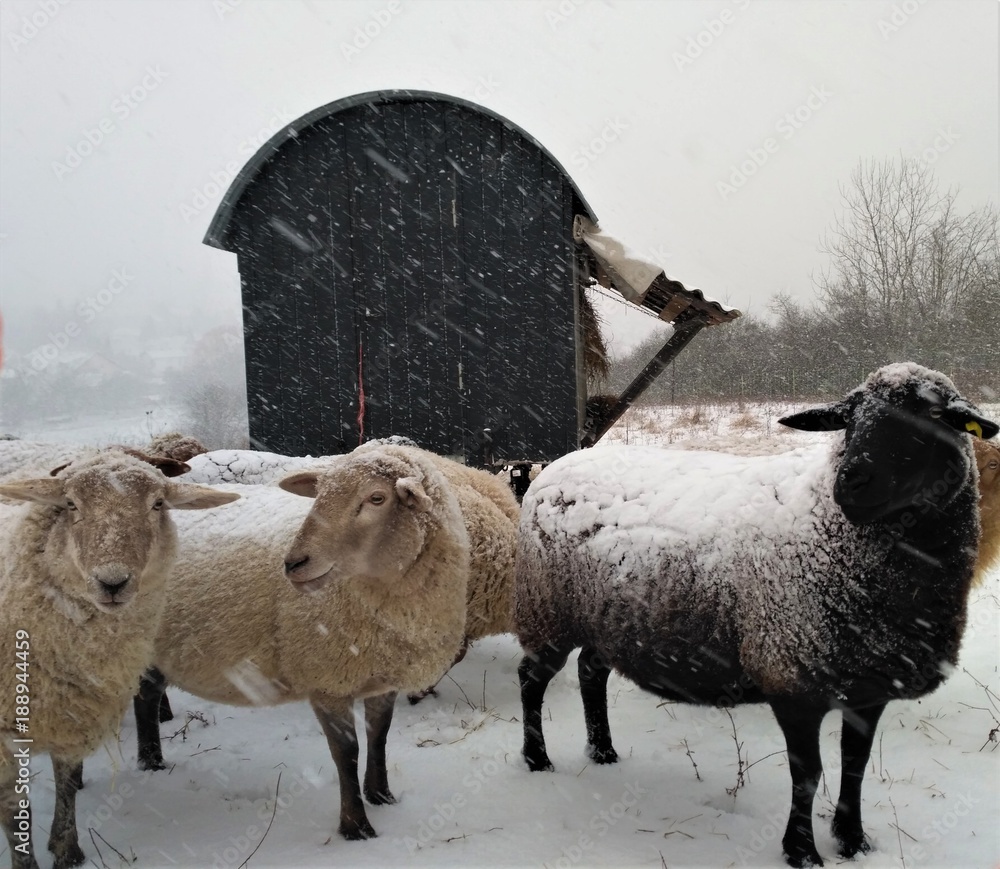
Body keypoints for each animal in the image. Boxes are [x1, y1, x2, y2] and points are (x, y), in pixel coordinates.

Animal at [0, 451, 238, 869]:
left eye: (157, 504)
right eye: (71, 504)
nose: (113, 582)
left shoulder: (72, 708)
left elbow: (65, 784)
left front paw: (67, 849)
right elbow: (13, 811)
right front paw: (26, 861)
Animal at [133, 444, 472, 841]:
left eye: (377, 498)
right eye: (320, 495)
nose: (294, 563)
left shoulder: (381, 679)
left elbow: (379, 736)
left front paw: (382, 796)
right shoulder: (327, 681)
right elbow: (347, 752)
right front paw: (355, 827)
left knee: (148, 695)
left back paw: (153, 761)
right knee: (144, 697)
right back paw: (150, 763)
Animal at [514, 363, 998, 869]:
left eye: (932, 415)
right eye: (849, 418)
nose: (849, 483)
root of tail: (559, 465)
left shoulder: (870, 690)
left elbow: (855, 765)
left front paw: (853, 841)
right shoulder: (793, 682)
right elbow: (808, 775)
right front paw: (802, 851)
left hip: (604, 619)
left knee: (591, 671)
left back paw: (603, 751)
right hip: (547, 609)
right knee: (532, 678)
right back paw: (537, 759)